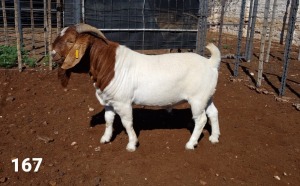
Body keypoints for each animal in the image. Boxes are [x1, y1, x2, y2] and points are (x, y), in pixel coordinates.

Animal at [51, 23, 220, 151]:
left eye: (70, 41)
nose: (52, 54)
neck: (109, 64)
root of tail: (210, 63)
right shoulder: (109, 101)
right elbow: (109, 120)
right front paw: (105, 138)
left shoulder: (123, 102)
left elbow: (127, 123)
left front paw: (132, 144)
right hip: (207, 96)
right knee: (213, 113)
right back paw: (214, 137)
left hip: (197, 99)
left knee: (201, 119)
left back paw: (191, 144)